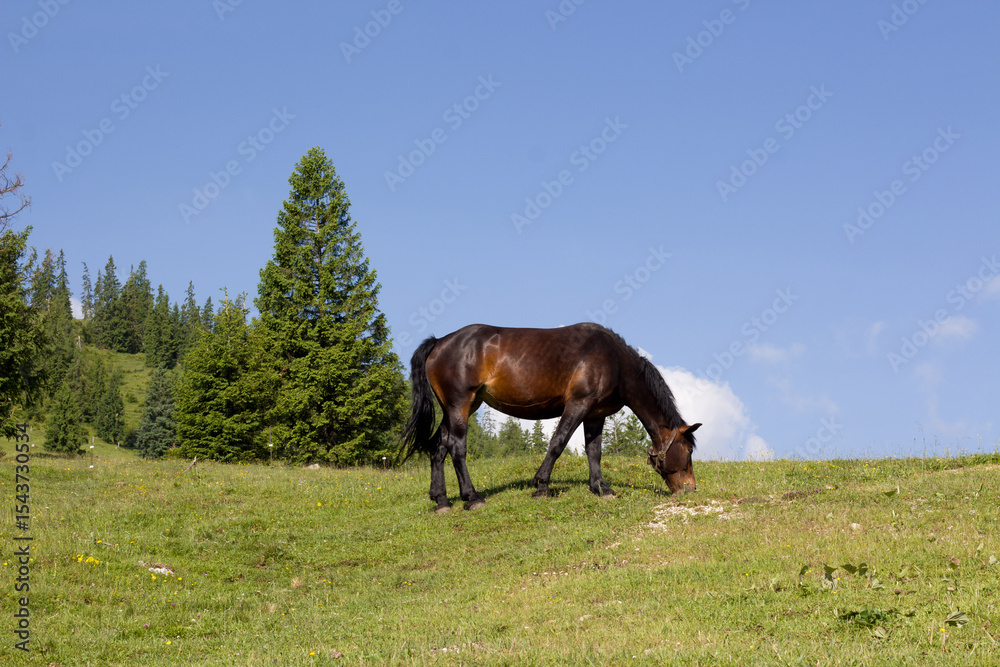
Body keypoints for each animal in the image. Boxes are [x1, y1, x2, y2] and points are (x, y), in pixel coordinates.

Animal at [400, 323, 701, 512]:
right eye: (687, 452)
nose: (690, 489)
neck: (614, 360)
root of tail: (439, 342)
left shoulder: (595, 415)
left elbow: (594, 452)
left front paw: (600, 488)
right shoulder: (577, 405)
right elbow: (558, 443)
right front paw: (541, 486)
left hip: (460, 408)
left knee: (438, 448)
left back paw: (441, 501)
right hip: (460, 405)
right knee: (456, 448)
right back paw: (472, 498)